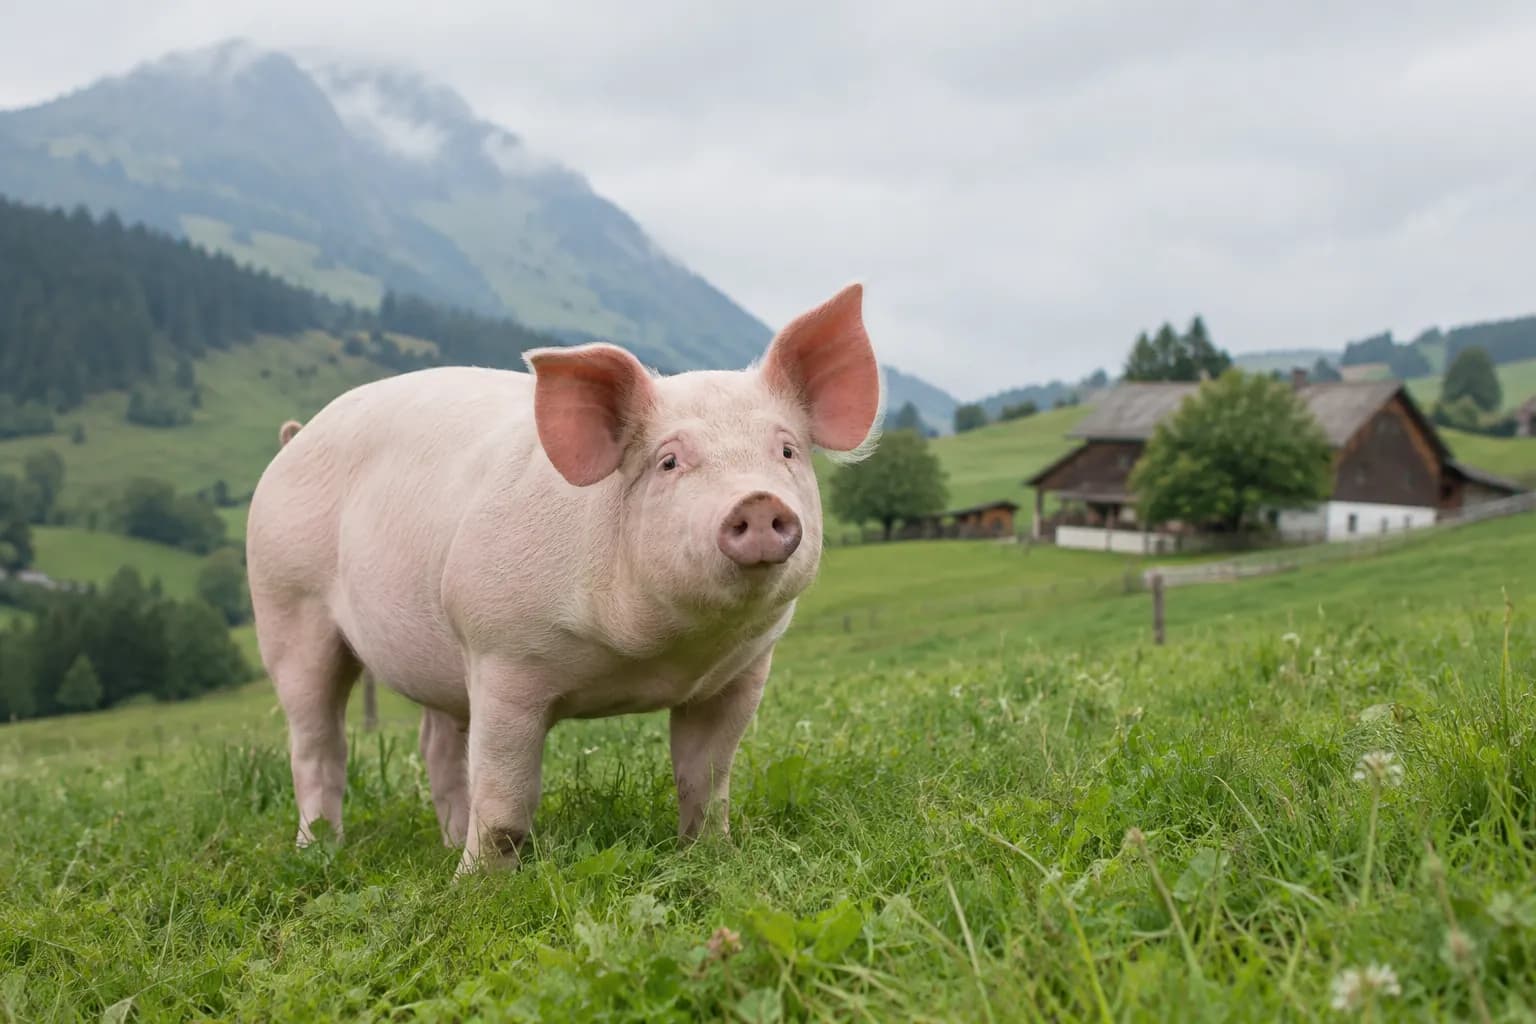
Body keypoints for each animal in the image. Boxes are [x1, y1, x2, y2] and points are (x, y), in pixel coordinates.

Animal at [245, 283, 882, 874]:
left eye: (787, 451)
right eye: (669, 461)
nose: (756, 502)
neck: (656, 655)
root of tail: (294, 439)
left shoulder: (741, 674)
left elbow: (706, 777)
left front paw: (712, 855)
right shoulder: (500, 654)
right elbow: (504, 801)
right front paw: (477, 888)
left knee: (436, 745)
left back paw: (445, 843)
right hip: (286, 606)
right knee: (317, 742)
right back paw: (320, 852)